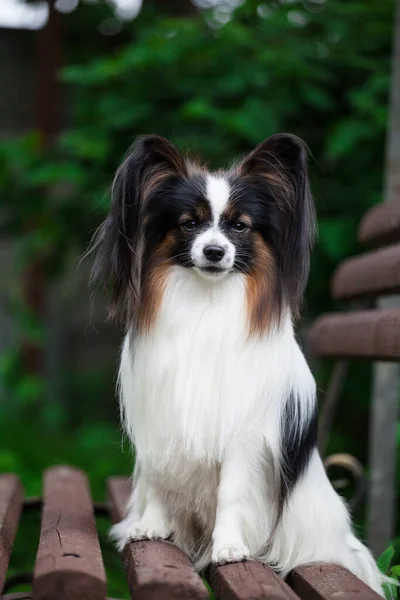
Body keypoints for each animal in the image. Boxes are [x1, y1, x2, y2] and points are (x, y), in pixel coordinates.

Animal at [90, 132, 384, 596]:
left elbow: (231, 492)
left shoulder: (244, 434)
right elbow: (158, 478)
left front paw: (228, 548)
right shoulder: (161, 417)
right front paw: (151, 526)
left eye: (240, 226)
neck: (207, 301)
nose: (214, 251)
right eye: (189, 224)